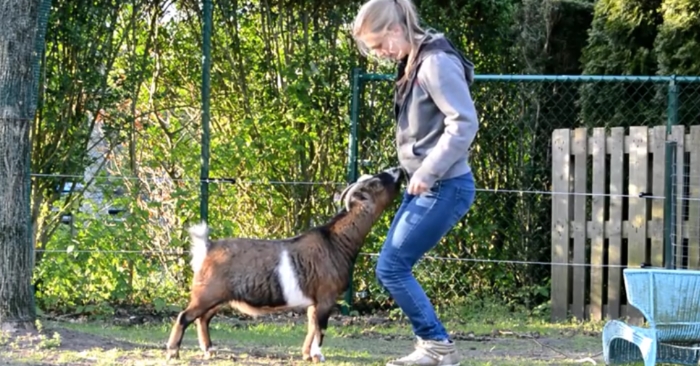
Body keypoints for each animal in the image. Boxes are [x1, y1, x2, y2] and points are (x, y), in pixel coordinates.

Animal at [165, 167, 404, 364]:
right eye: (376, 182)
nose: (398, 171)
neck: (335, 241)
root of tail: (207, 247)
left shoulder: (314, 302)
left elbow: (311, 326)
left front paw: (307, 354)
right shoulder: (326, 297)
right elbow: (321, 328)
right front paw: (318, 355)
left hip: (219, 296)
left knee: (203, 318)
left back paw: (209, 349)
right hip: (207, 293)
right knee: (185, 316)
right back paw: (173, 351)